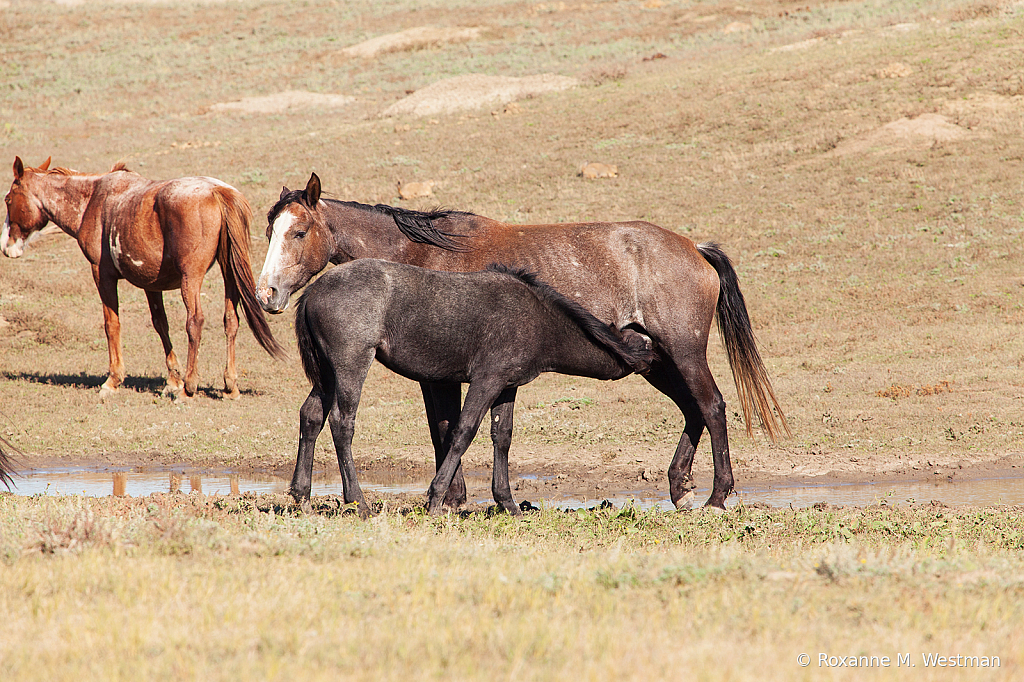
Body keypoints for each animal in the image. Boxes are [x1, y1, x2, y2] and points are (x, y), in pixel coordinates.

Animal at [4, 155, 284, 395]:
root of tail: (218, 191)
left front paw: (113, 380)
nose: (6, 247)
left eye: (7, 200)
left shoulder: (102, 275)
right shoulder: (152, 285)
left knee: (195, 320)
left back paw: (190, 387)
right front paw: (172, 380)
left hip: (191, 278)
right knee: (231, 320)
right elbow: (161, 325)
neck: (92, 200)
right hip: (229, 274)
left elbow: (111, 324)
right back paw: (229, 385)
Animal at [256, 173, 782, 507]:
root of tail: (695, 247)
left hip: (683, 352)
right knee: (694, 409)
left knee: (712, 406)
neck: (420, 252)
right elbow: (458, 430)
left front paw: (452, 497)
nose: (267, 295)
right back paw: (679, 487)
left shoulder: (446, 375)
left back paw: (717, 494)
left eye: (298, 231)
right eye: (268, 230)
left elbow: (448, 428)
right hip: (656, 360)